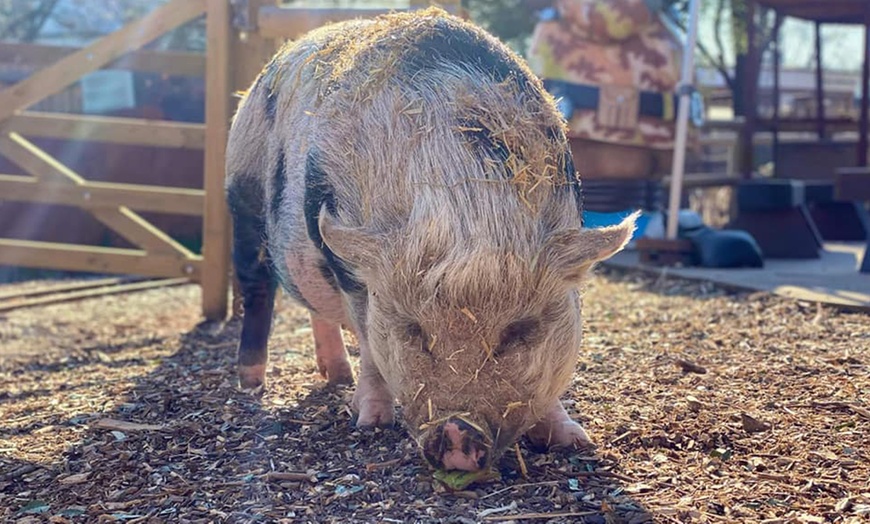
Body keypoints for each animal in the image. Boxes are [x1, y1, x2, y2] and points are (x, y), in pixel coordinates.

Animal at [221, 7, 636, 474]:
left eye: (520, 330)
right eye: (413, 329)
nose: (457, 433)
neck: (465, 209)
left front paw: (576, 441)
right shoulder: (352, 266)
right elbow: (369, 339)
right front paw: (370, 423)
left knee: (316, 308)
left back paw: (338, 377)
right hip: (242, 197)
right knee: (257, 287)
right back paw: (251, 382)